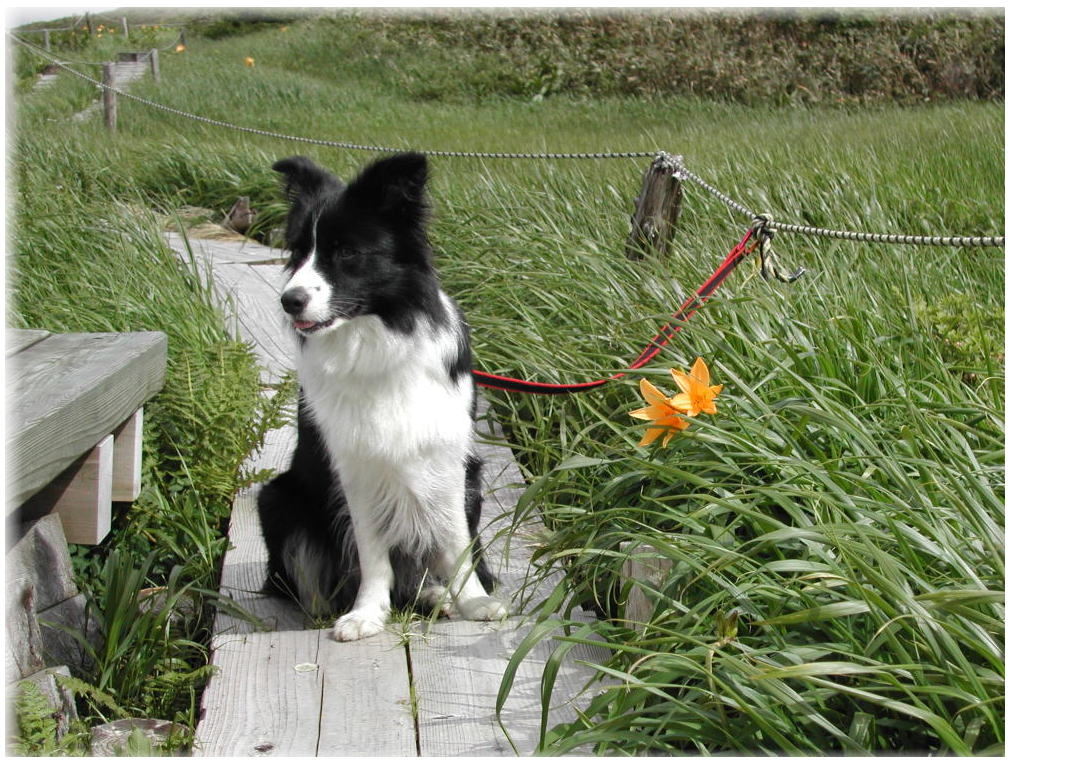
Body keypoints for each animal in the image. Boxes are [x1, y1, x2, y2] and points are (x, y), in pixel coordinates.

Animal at [258, 152, 508, 640]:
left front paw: (473, 602)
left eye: (346, 253)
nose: (289, 301)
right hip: (276, 498)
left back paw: (433, 595)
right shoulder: (356, 464)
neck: (377, 337)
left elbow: (455, 540)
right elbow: (372, 552)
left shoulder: (447, 457)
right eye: (298, 254)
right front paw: (367, 613)